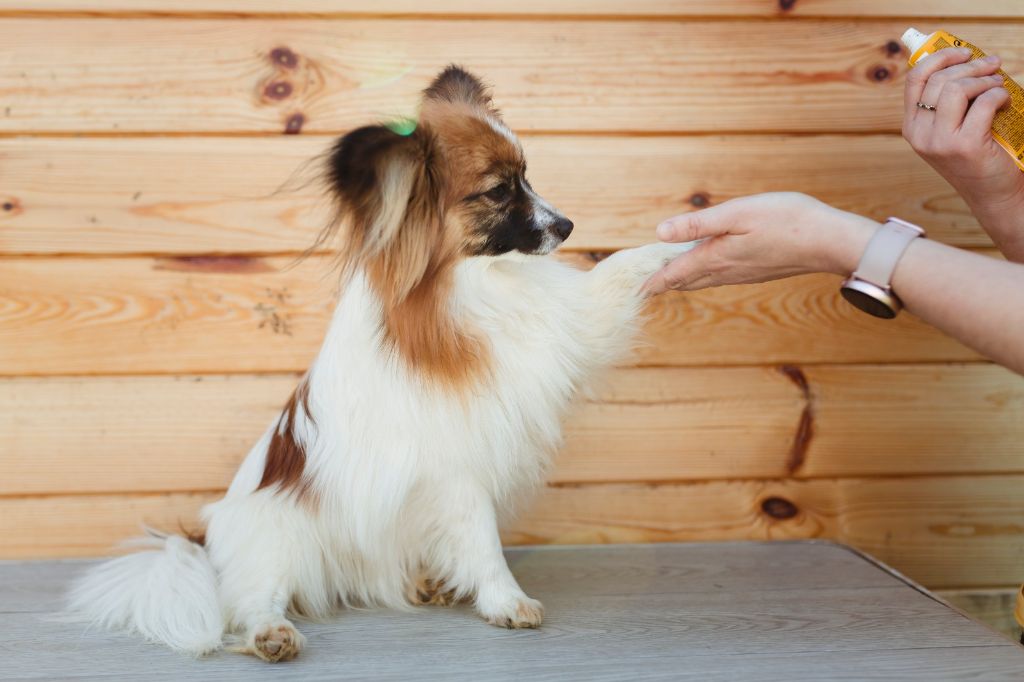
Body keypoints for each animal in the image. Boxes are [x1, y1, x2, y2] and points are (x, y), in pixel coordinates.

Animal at [70, 63, 696, 659]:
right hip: (281, 537)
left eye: (528, 176)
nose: (567, 226)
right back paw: (274, 634)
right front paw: (504, 600)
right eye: (498, 192)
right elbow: (482, 540)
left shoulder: (565, 325)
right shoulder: (456, 468)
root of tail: (205, 544)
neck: (475, 282)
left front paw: (683, 243)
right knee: (253, 600)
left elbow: (621, 268)